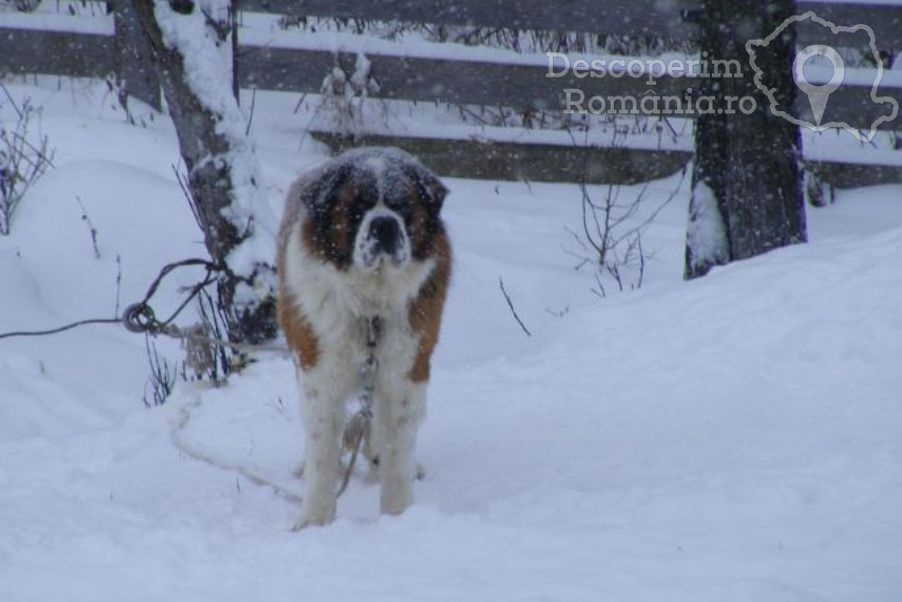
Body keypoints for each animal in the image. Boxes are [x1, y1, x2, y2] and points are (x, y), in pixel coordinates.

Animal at [276, 145, 452, 524]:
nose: (384, 223)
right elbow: (322, 448)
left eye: (402, 206)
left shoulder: (406, 370)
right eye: (357, 208)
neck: (370, 306)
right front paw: (314, 520)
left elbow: (397, 445)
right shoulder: (319, 370)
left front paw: (399, 515)